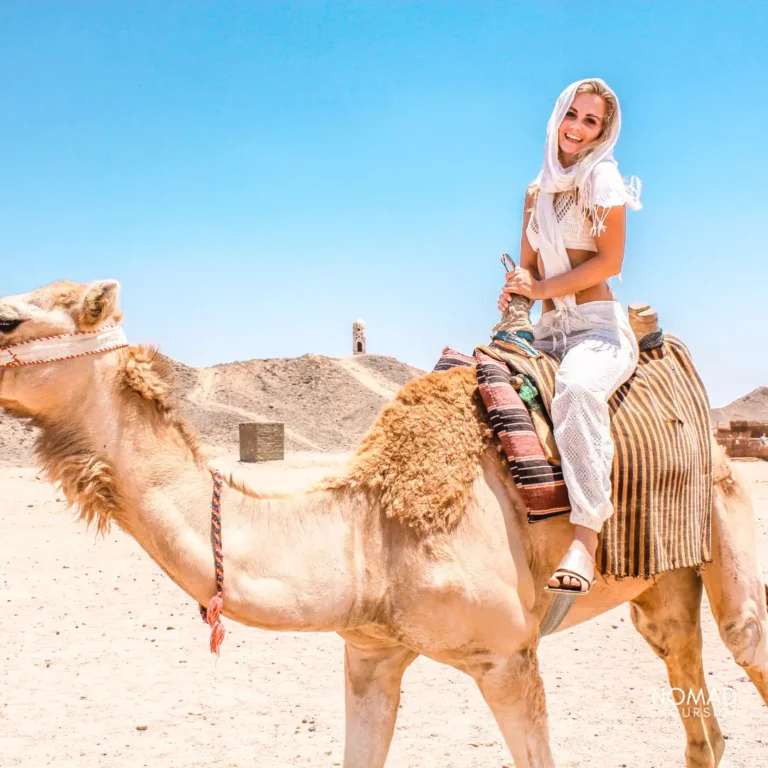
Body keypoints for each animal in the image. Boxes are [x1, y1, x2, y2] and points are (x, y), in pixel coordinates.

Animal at [0, 278, 764, 768]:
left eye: (10, 319)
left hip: (723, 517)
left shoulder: (509, 658)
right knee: (691, 698)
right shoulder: (369, 652)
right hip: (659, 580)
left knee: (743, 636)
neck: (368, 537)